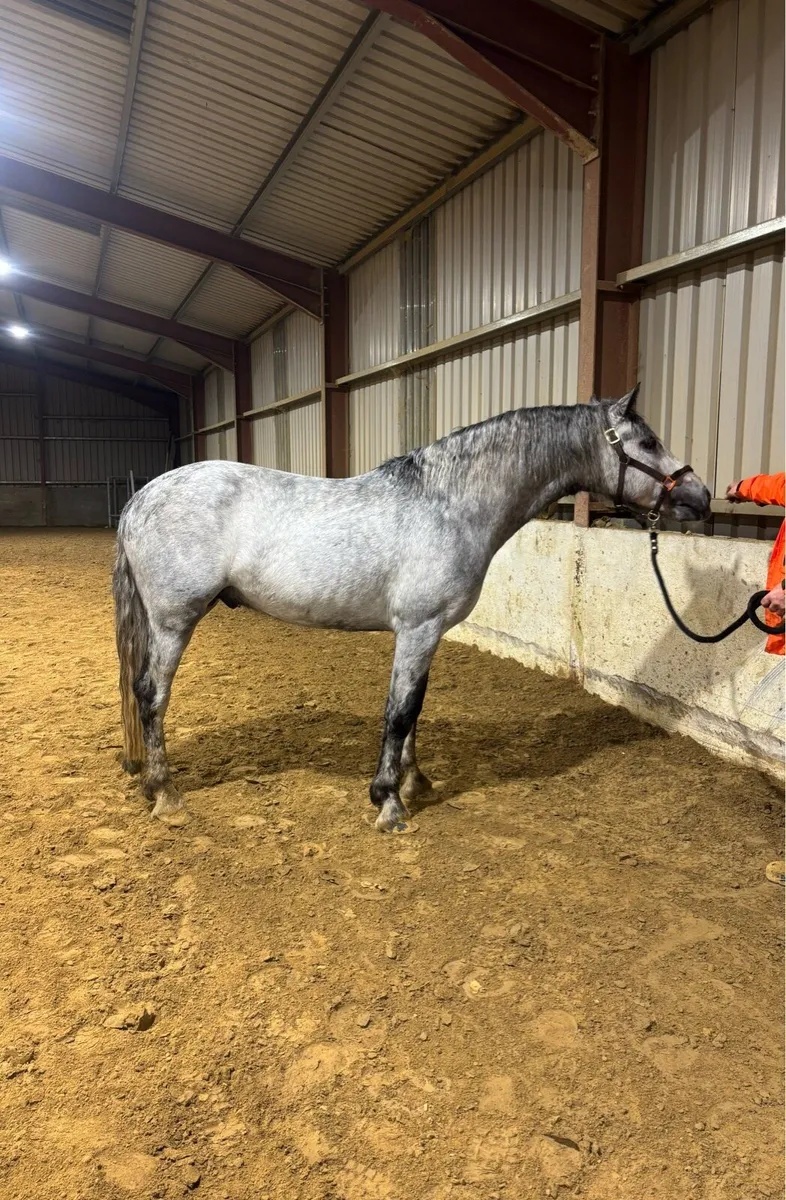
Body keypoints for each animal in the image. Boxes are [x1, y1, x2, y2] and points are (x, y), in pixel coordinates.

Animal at [113, 385, 711, 832]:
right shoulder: (418, 628)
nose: (701, 497)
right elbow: (399, 712)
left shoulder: (429, 632)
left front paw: (414, 782)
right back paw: (165, 794)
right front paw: (388, 802)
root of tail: (143, 497)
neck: (448, 503)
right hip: (174, 620)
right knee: (151, 694)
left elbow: (415, 709)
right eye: (648, 441)